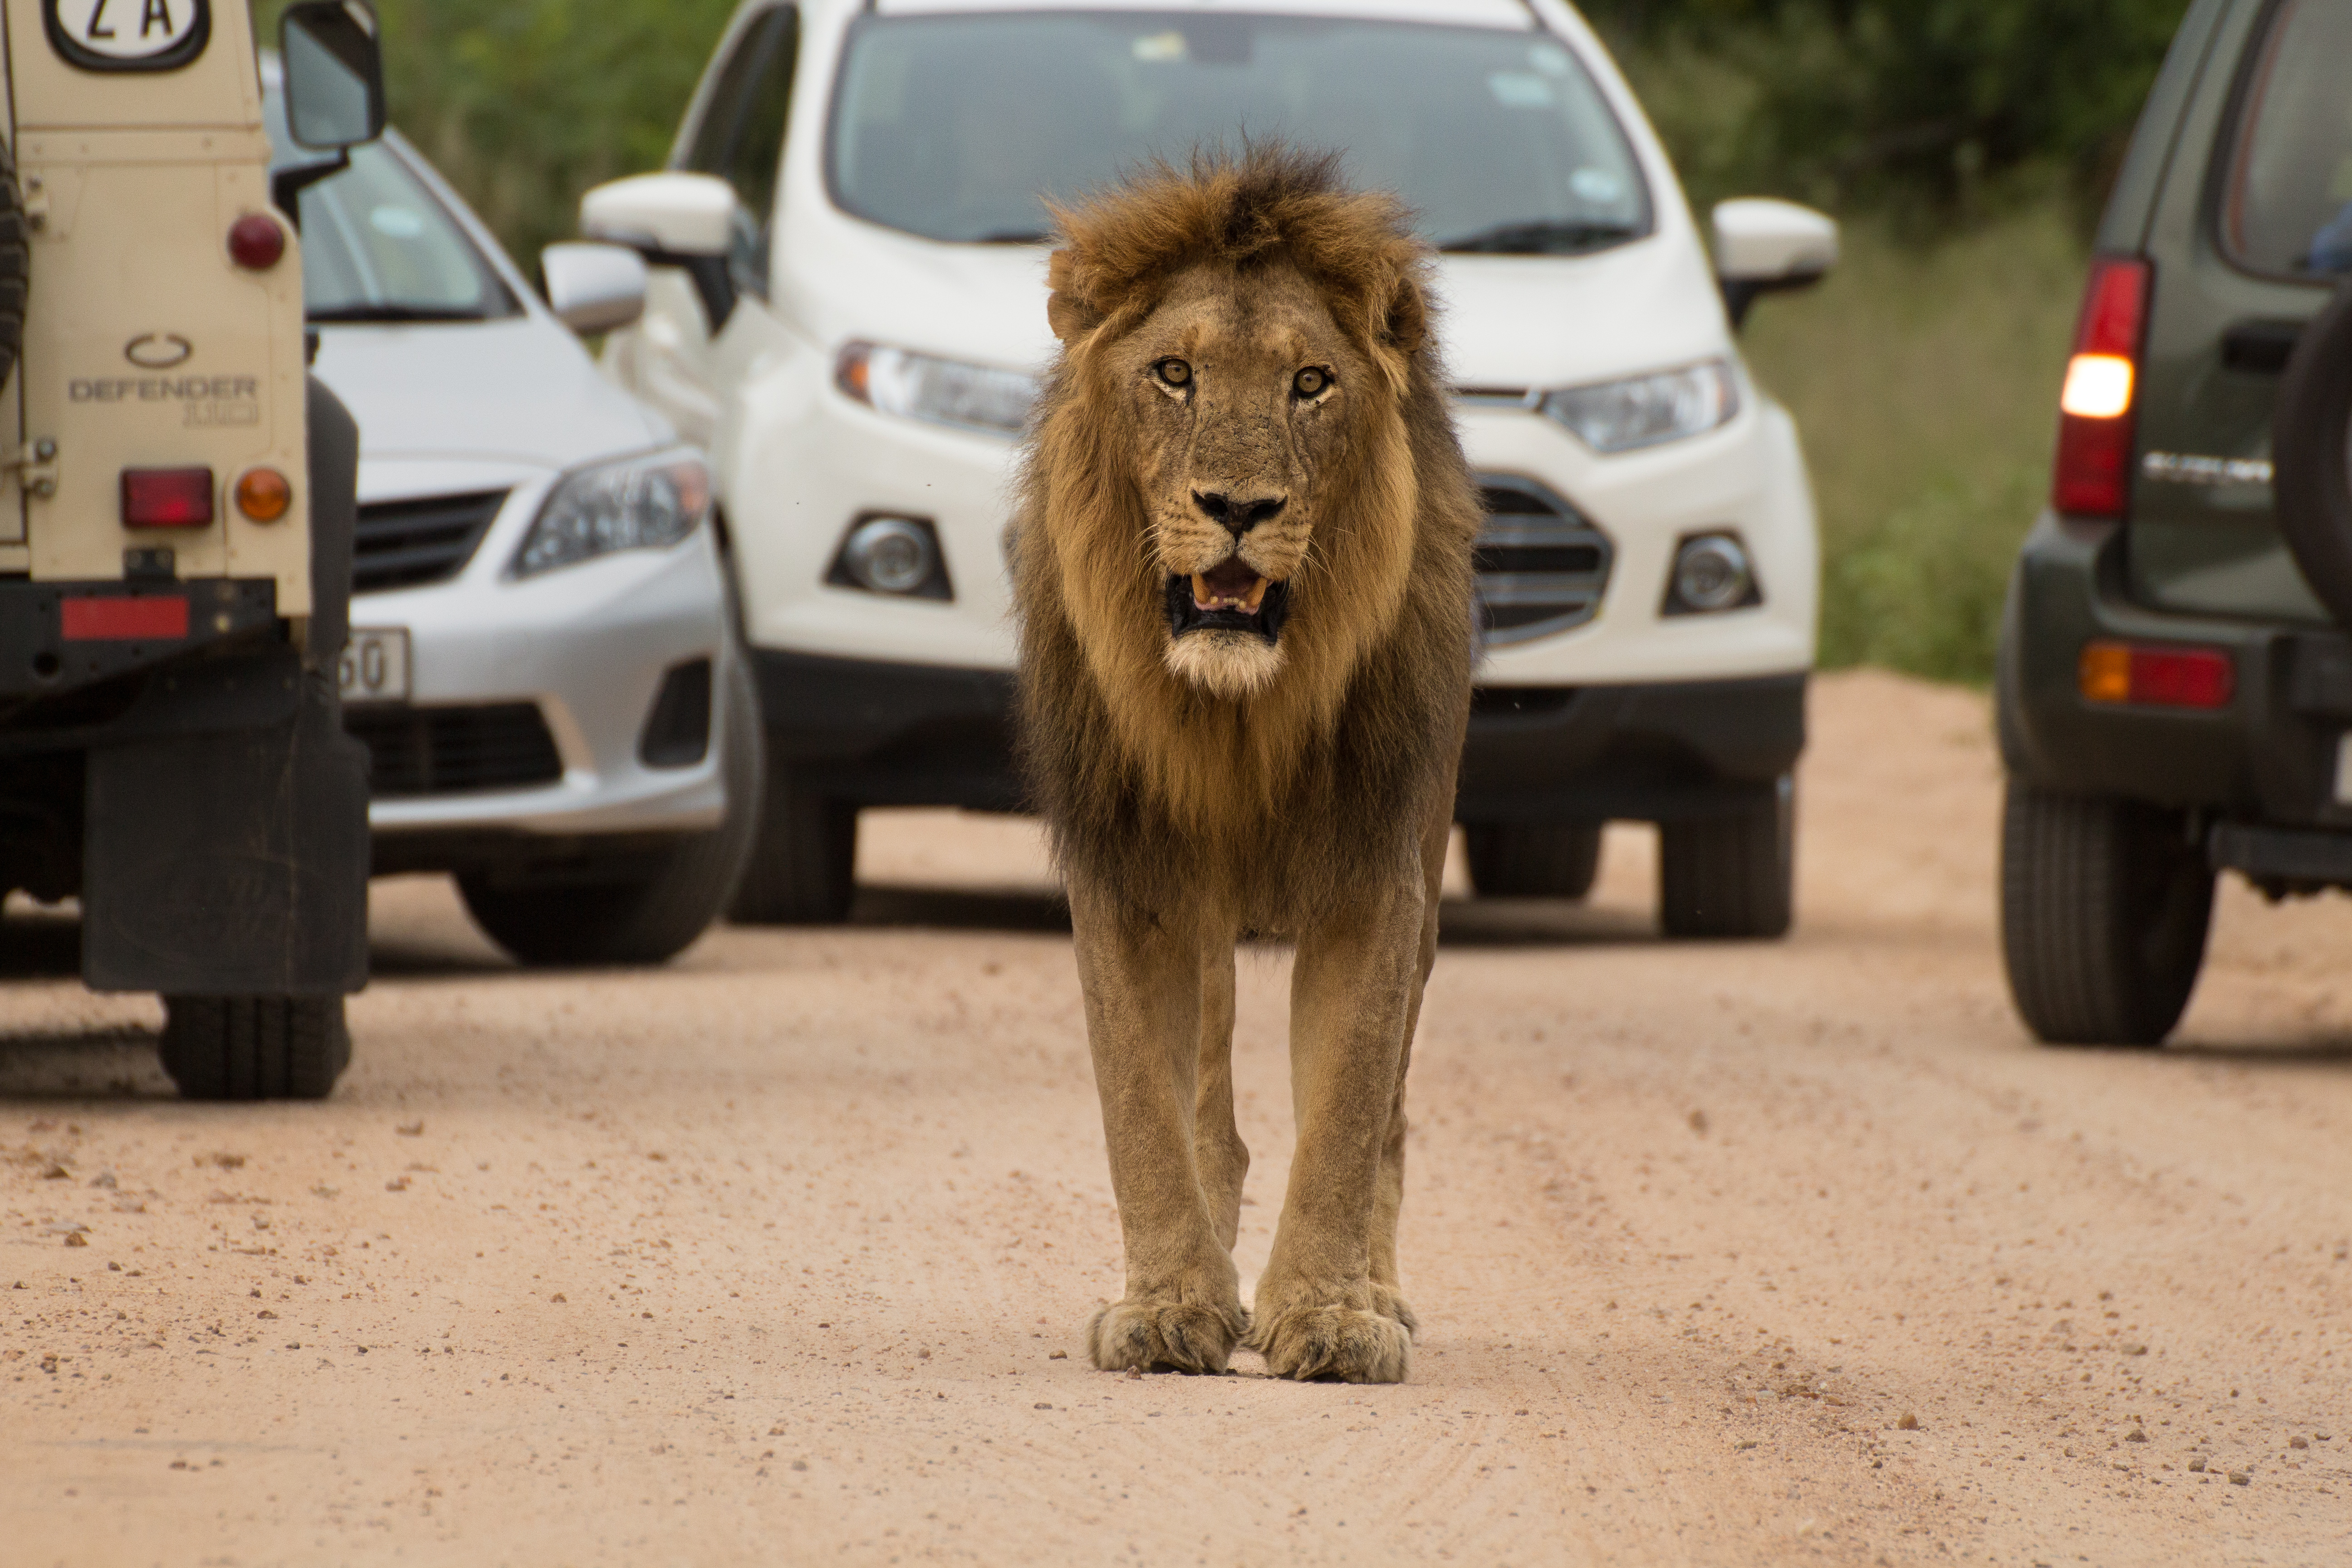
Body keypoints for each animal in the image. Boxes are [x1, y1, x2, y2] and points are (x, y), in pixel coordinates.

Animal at [1010, 146, 1482, 1383]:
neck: (1233, 720)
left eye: (1310, 384)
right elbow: (1141, 1105)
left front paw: (1328, 1316)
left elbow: (1348, 1115)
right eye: (1173, 374)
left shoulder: (1377, 881)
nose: (1236, 507)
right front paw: (1169, 1305)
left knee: (1390, 1117)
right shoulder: (1129, 877)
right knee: (1211, 1118)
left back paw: (1377, 1288)